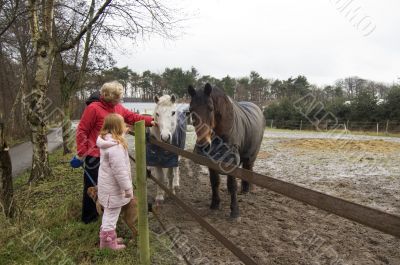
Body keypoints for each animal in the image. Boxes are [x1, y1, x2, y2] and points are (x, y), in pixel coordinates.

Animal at [188, 82, 266, 217]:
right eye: (191, 110)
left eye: (210, 108)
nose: (203, 147)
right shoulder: (211, 162)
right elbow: (214, 182)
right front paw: (214, 204)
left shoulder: (231, 161)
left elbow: (232, 184)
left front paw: (234, 211)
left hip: (251, 155)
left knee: (249, 167)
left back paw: (247, 189)